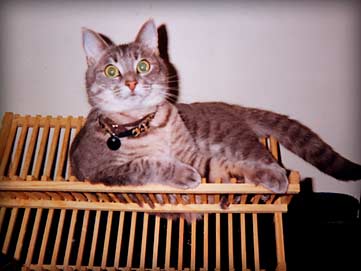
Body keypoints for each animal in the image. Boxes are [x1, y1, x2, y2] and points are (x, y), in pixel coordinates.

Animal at [70, 19, 360, 208]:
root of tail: (232, 107)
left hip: (236, 140)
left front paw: (267, 175)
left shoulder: (194, 154)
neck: (147, 126)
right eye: (111, 71)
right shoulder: (102, 171)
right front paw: (182, 174)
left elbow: (224, 164)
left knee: (262, 156)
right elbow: (147, 164)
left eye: (143, 65)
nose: (131, 82)